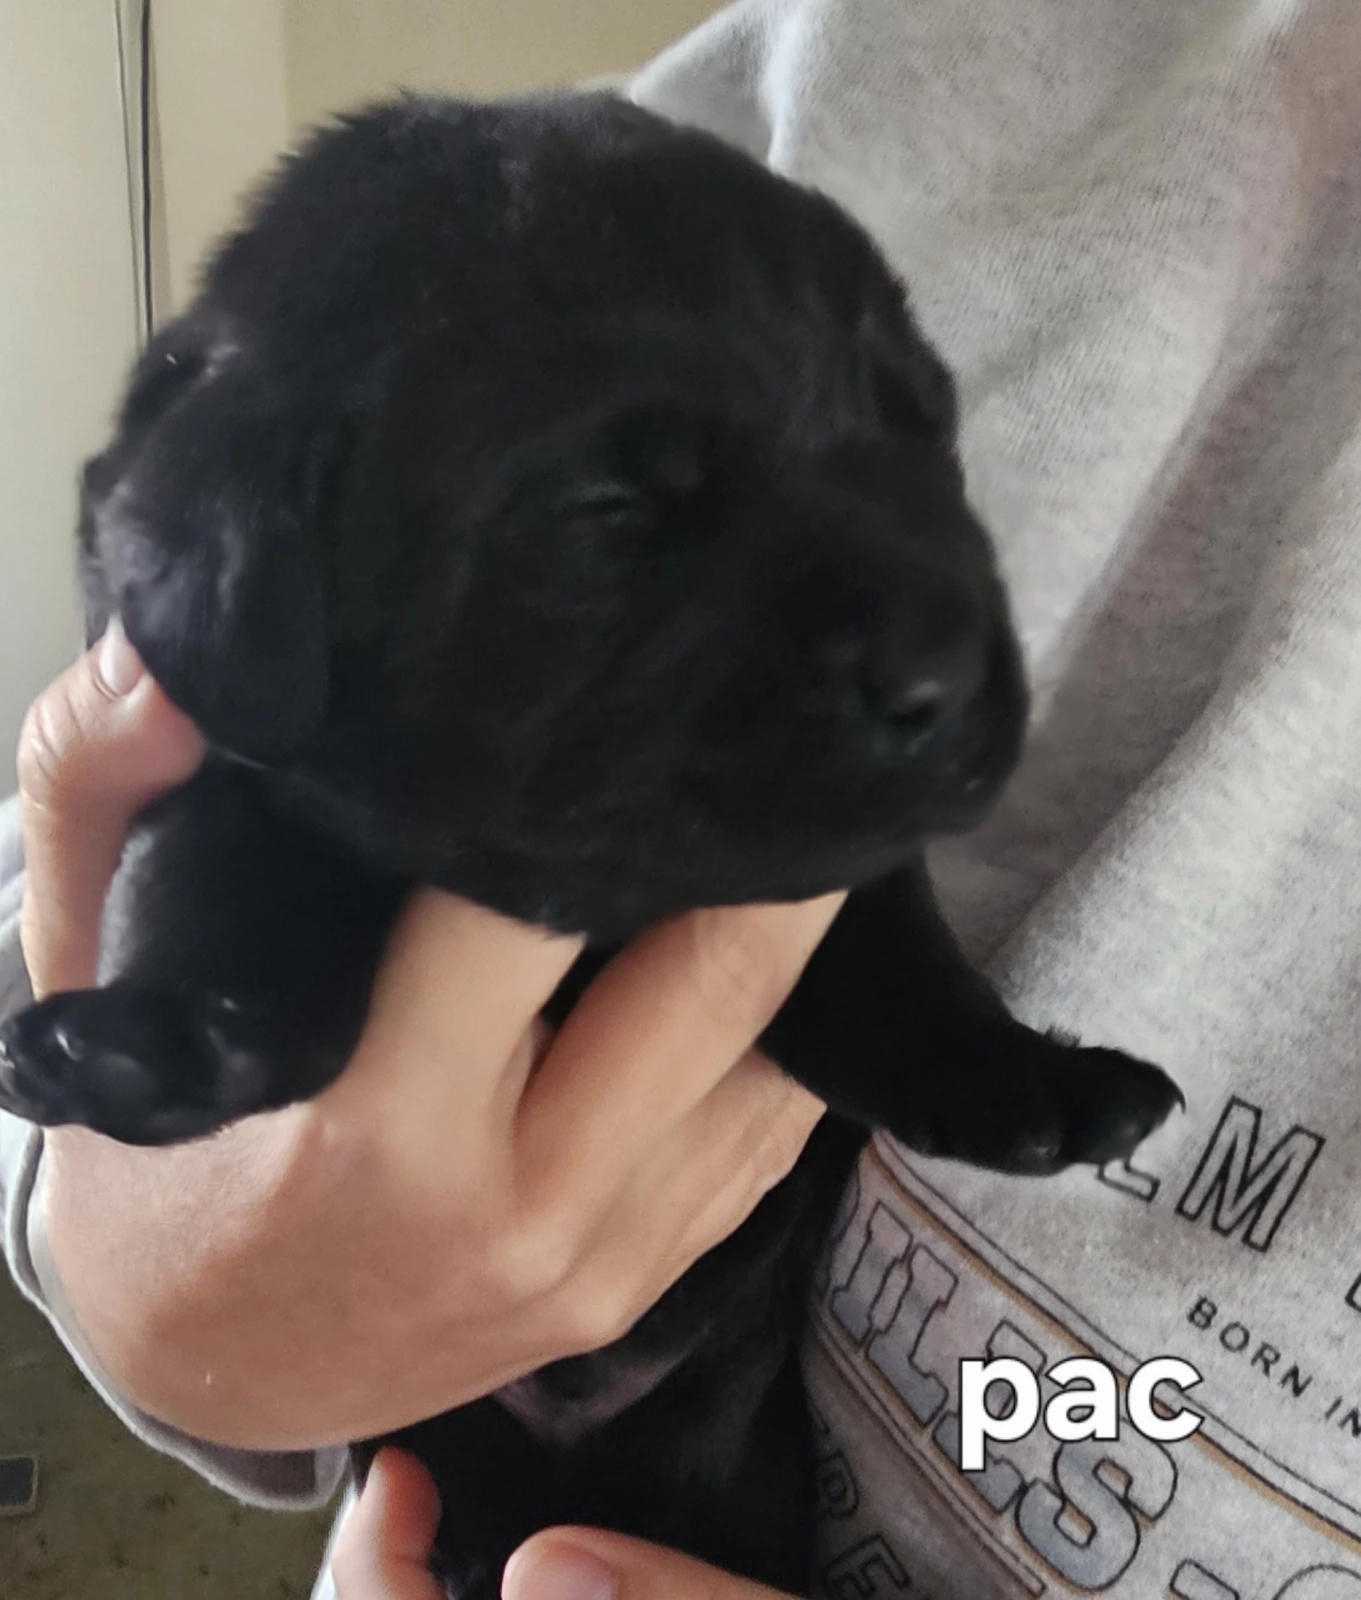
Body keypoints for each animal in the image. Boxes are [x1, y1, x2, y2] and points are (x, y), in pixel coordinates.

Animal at [0, 93, 1180, 1595]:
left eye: (919, 426)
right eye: (609, 516)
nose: (945, 671)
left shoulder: (821, 870)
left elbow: (891, 949)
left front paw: (1027, 1078)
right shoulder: (204, 720)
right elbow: (230, 860)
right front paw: (164, 1040)